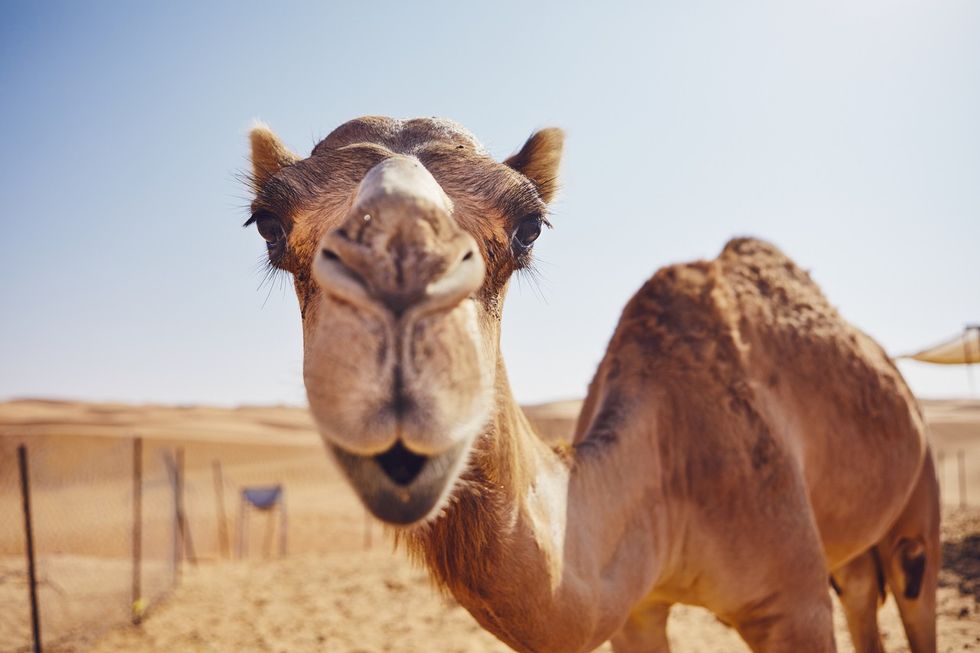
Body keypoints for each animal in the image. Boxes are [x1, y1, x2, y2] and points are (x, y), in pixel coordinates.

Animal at [244, 116, 939, 653]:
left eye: (529, 226)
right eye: (268, 224)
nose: (399, 287)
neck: (674, 466)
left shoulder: (792, 604)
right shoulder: (635, 610)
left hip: (916, 507)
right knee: (862, 596)